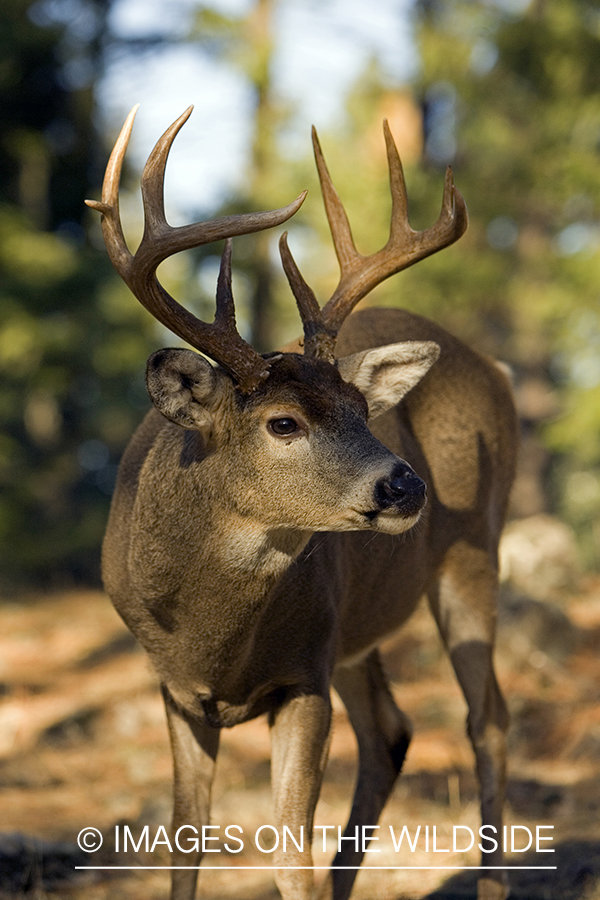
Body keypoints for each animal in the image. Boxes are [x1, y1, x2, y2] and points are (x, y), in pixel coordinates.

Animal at [86, 105, 517, 900]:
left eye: (361, 409)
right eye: (283, 423)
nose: (405, 484)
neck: (212, 633)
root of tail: (493, 367)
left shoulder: (304, 673)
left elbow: (294, 865)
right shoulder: (174, 689)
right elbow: (184, 847)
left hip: (474, 548)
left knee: (489, 721)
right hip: (358, 626)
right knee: (392, 731)